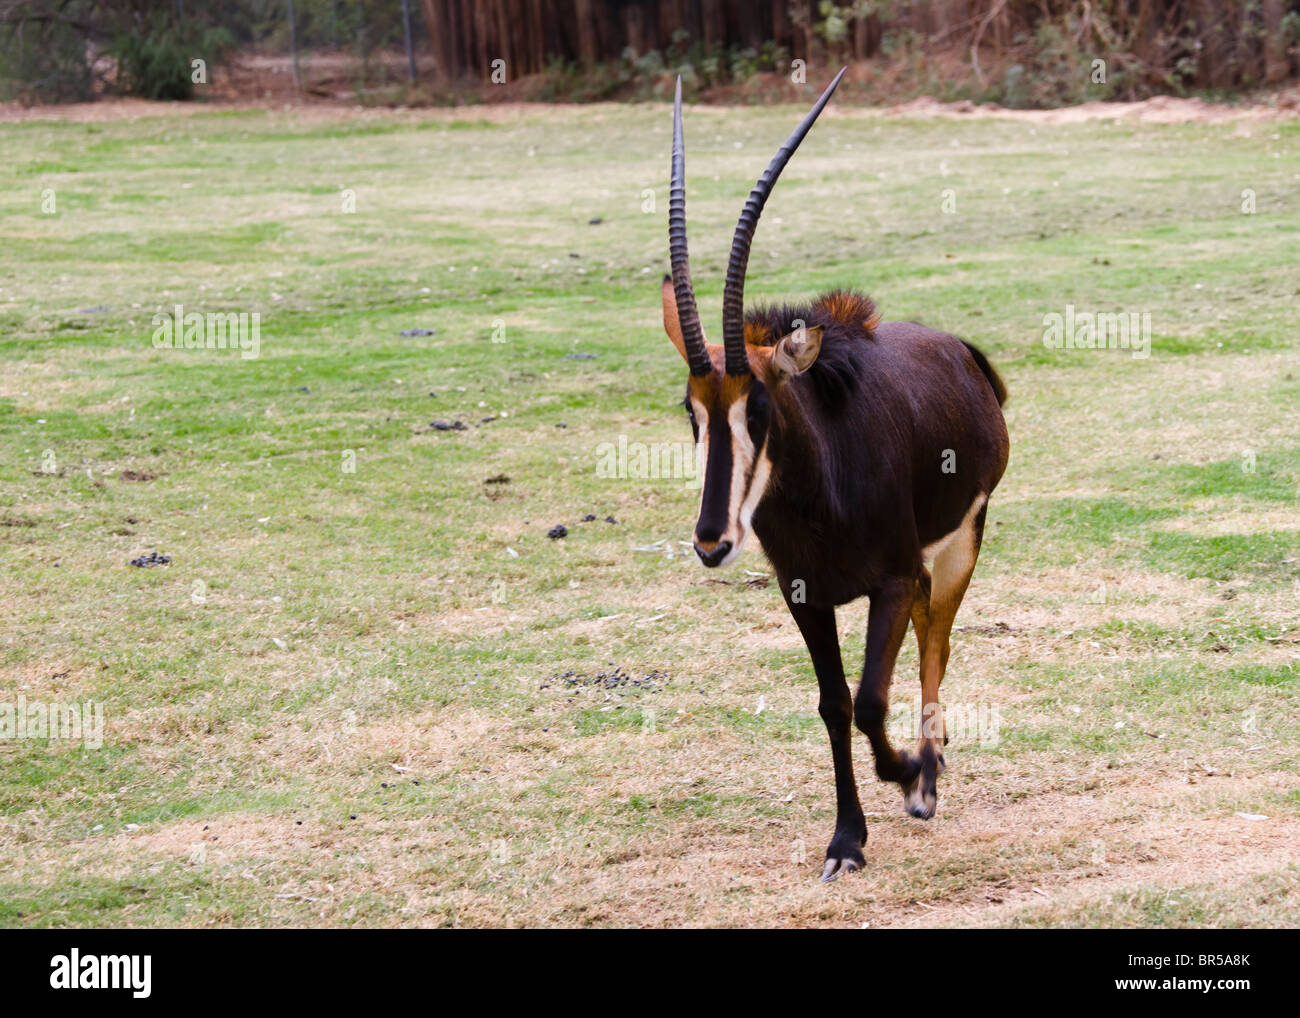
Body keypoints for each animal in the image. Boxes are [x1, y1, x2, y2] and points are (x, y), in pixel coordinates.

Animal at [665, 73, 1008, 884]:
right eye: (692, 410)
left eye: (760, 405)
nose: (712, 542)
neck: (821, 493)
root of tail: (964, 354)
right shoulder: (807, 597)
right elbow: (833, 703)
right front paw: (847, 839)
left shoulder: (888, 580)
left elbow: (871, 699)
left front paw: (912, 774)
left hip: (959, 543)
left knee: (937, 640)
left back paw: (930, 771)